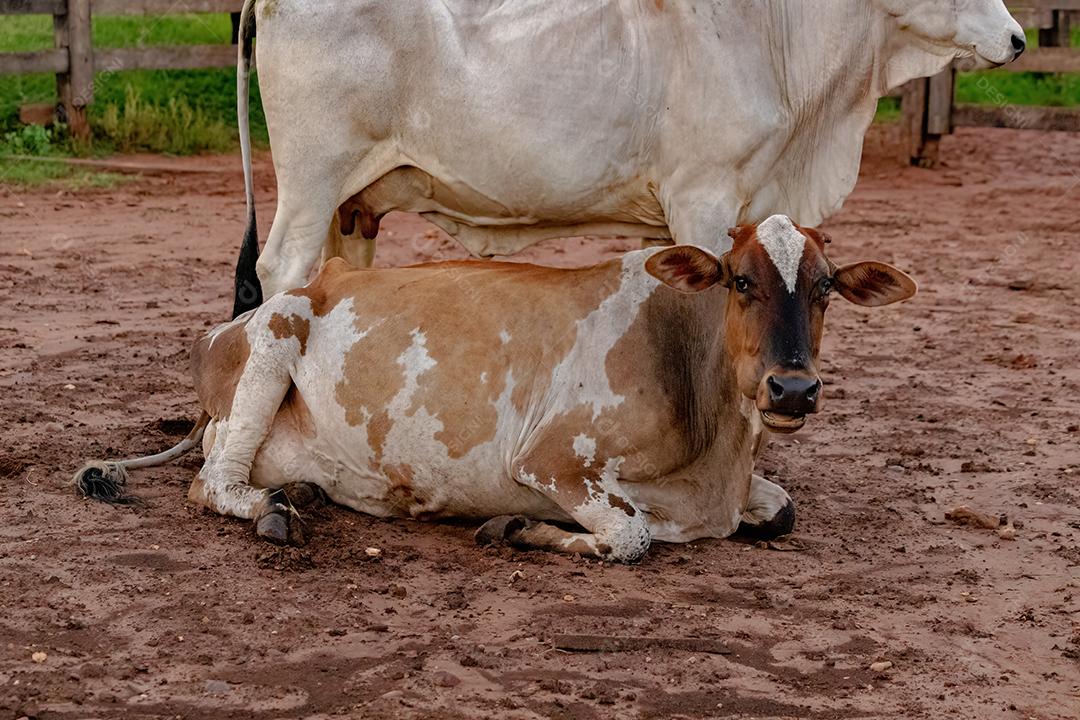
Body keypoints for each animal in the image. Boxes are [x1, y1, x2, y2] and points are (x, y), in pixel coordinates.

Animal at [77, 216, 916, 561]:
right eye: (740, 280)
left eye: (827, 287)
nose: (794, 389)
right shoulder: (549, 461)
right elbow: (634, 536)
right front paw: (521, 529)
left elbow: (781, 512)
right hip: (272, 345)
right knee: (213, 483)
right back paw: (274, 511)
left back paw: (304, 490)